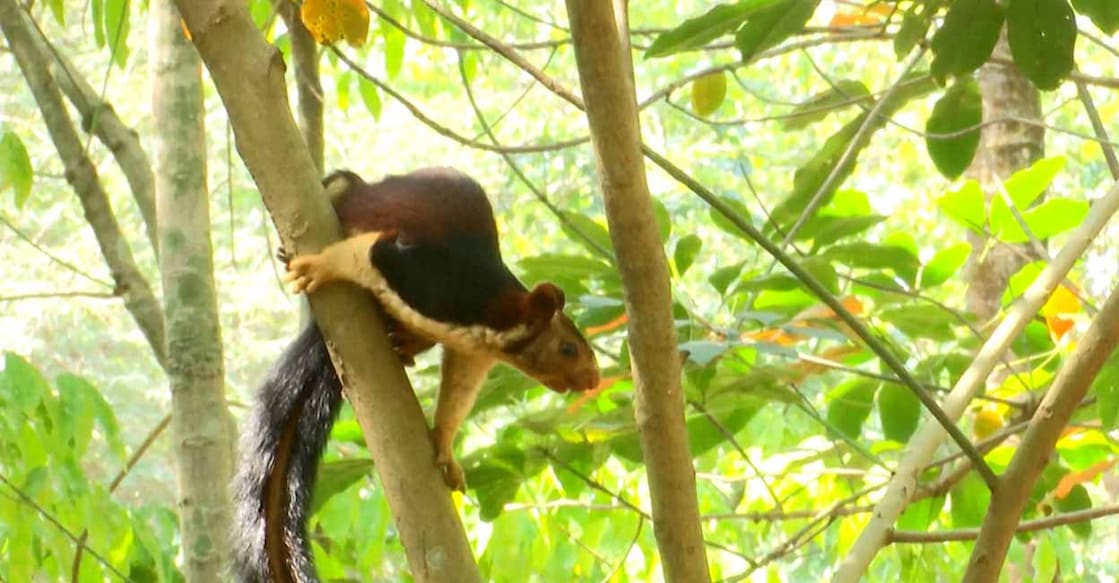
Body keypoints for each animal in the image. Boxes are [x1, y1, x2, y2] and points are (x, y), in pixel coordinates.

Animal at [232, 168, 601, 582]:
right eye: (568, 349)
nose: (593, 379)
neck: (495, 317)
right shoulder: (422, 276)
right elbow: (367, 253)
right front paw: (319, 267)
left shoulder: (471, 352)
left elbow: (458, 392)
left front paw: (444, 448)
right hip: (350, 192)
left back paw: (404, 344)